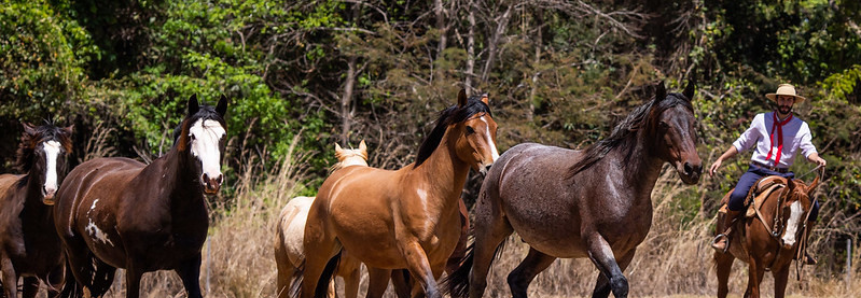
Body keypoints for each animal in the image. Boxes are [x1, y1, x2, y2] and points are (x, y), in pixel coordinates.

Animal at [53, 95, 228, 298]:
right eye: (192, 136)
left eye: (222, 136)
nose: (212, 180)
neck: (170, 205)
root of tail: (75, 178)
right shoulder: (134, 267)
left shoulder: (190, 266)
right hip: (77, 256)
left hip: (105, 264)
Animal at [298, 90, 498, 298]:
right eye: (469, 128)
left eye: (495, 128)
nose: (491, 166)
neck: (429, 193)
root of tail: (335, 182)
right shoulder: (413, 253)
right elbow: (433, 291)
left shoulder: (438, 262)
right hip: (318, 254)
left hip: (379, 266)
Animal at [712, 170, 820, 298]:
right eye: (785, 208)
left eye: (806, 212)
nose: (787, 242)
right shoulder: (756, 262)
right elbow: (755, 293)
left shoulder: (783, 268)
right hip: (725, 256)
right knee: (722, 289)